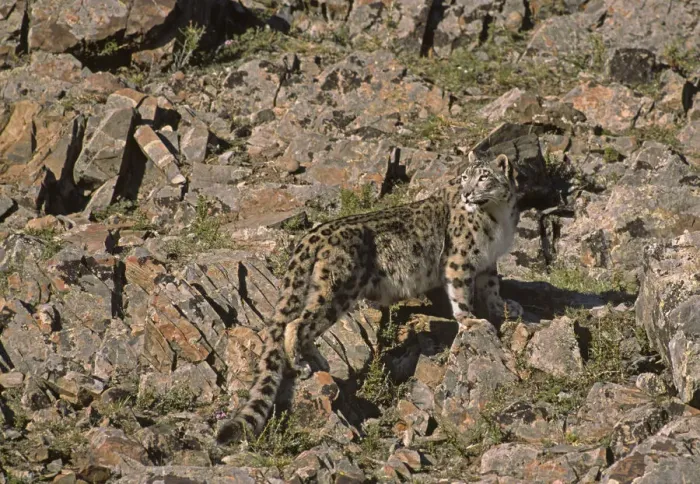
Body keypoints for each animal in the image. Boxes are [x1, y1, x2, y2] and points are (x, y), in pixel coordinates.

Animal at [216, 151, 523, 445]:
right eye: (464, 177)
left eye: (483, 176)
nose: (467, 193)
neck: (497, 219)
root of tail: (312, 235)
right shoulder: (460, 260)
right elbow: (460, 292)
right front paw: (470, 320)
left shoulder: (488, 262)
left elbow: (492, 287)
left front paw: (505, 307)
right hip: (339, 289)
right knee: (297, 323)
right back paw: (300, 364)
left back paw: (319, 361)